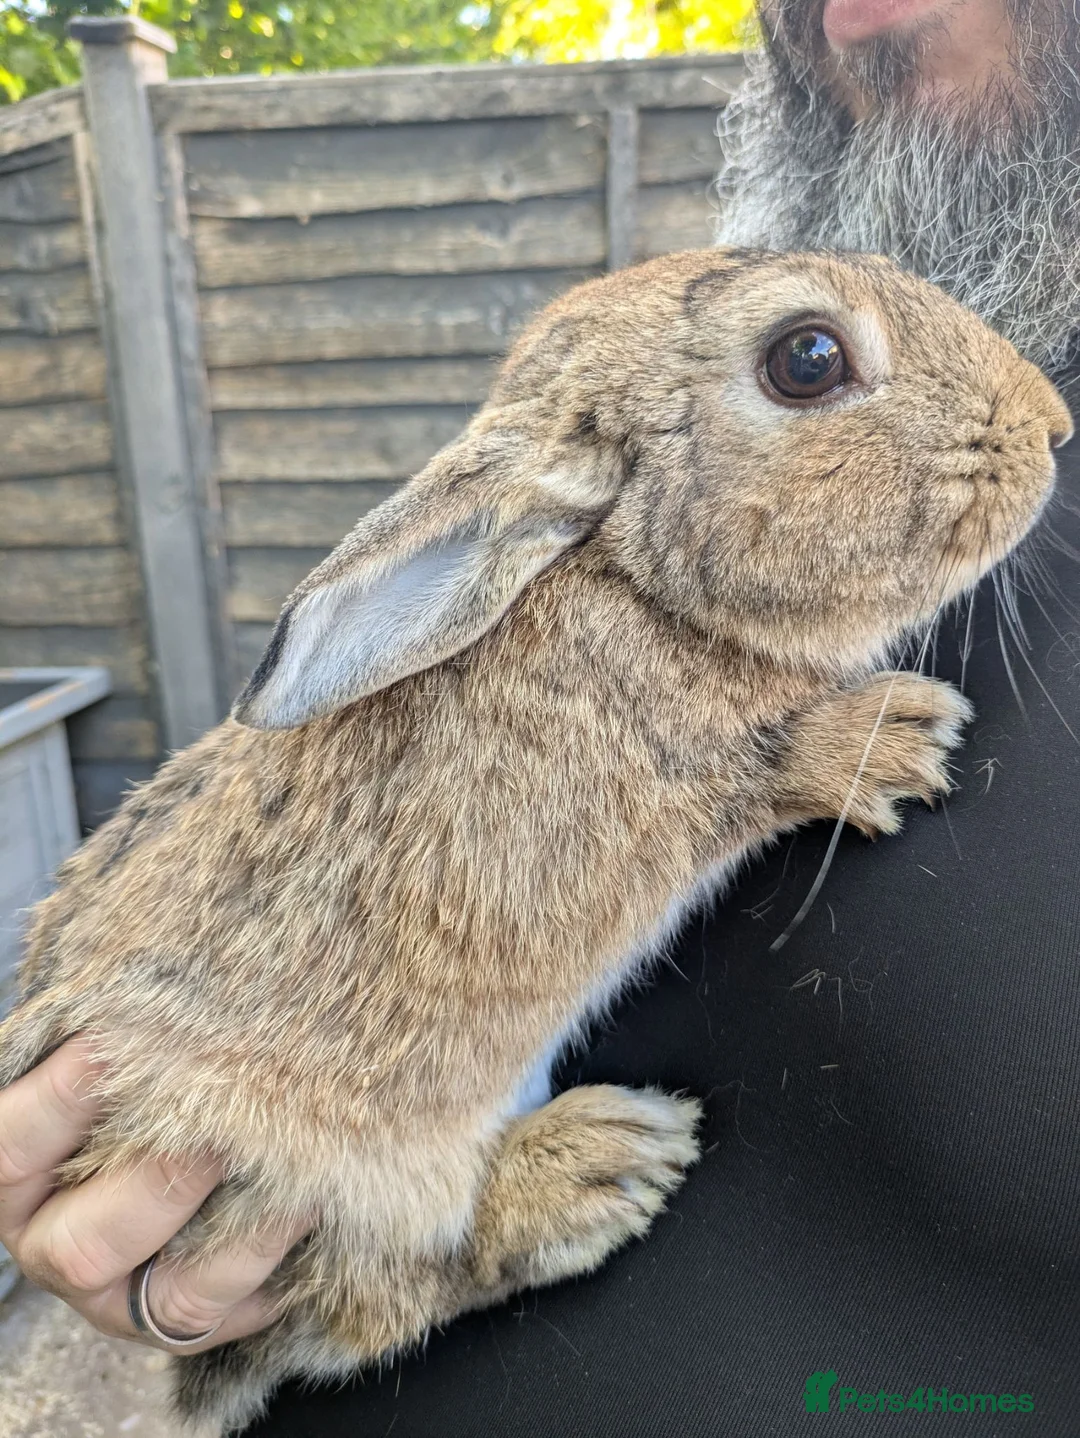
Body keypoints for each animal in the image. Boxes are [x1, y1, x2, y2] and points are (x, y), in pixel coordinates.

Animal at [0, 247, 1071, 1433]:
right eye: (808, 358)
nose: (1051, 424)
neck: (630, 588)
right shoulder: (658, 795)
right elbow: (755, 773)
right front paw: (894, 738)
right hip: (289, 1165)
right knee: (394, 1287)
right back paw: (600, 1169)